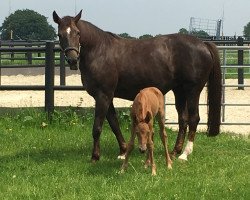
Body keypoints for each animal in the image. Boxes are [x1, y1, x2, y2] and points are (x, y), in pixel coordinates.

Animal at [52, 10, 221, 162]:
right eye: (60, 35)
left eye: (77, 33)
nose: (72, 59)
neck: (99, 50)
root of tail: (203, 43)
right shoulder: (107, 96)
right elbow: (114, 124)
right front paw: (123, 151)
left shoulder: (103, 95)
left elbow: (97, 128)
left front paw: (95, 157)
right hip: (179, 90)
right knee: (183, 119)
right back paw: (174, 151)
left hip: (193, 90)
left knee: (194, 118)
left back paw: (185, 154)